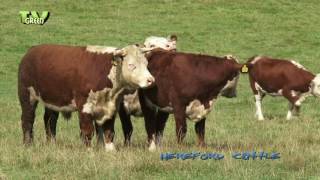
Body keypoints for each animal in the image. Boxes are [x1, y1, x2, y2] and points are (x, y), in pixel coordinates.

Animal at [18, 44, 154, 149]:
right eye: (131, 65)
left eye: (146, 63)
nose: (151, 80)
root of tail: (32, 50)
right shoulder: (84, 106)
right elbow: (87, 131)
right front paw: (89, 152)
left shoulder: (111, 107)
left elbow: (109, 131)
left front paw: (110, 151)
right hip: (27, 96)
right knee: (27, 119)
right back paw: (28, 144)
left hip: (52, 101)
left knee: (50, 120)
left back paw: (52, 143)